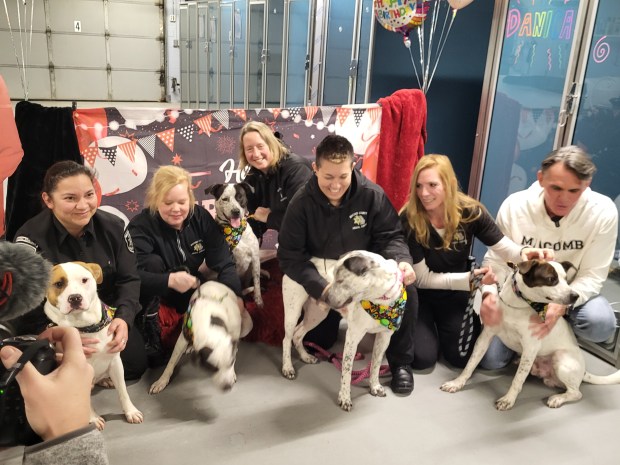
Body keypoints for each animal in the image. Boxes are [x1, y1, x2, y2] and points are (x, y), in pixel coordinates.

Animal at [44, 260, 144, 428]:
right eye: (58, 284)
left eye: (84, 280)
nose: (75, 298)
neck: (86, 326)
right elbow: (85, 400)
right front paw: (93, 418)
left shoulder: (115, 362)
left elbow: (123, 391)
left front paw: (131, 411)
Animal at [280, 250, 406, 410]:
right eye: (333, 277)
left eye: (340, 280)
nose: (324, 297)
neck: (379, 302)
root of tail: (307, 260)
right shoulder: (352, 337)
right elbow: (346, 371)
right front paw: (345, 397)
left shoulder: (384, 337)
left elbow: (376, 365)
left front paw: (374, 386)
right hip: (293, 311)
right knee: (286, 339)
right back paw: (287, 367)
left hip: (317, 314)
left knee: (297, 334)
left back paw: (305, 356)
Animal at [438, 260, 620, 408]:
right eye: (551, 279)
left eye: (566, 280)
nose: (575, 296)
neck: (518, 304)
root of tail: (583, 372)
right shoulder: (485, 337)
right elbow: (470, 365)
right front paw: (457, 383)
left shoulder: (530, 348)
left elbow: (518, 379)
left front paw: (508, 400)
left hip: (560, 359)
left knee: (576, 393)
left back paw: (557, 399)